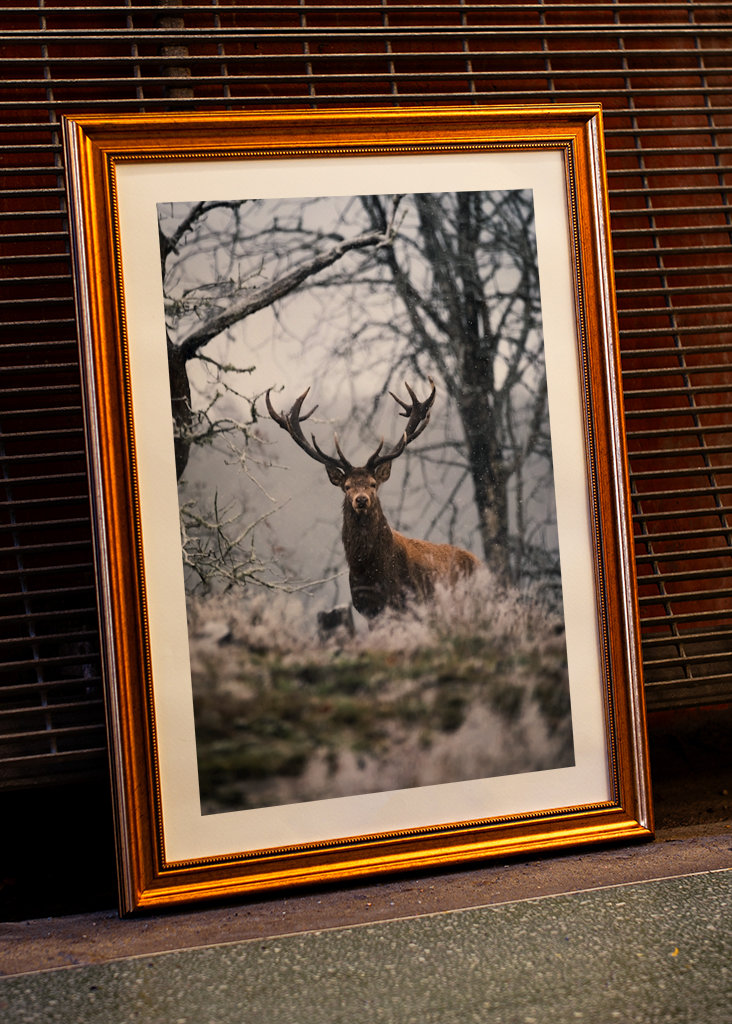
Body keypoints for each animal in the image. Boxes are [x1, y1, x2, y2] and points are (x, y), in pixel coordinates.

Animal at [266, 379, 480, 620]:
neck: (372, 572)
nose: (361, 500)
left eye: (373, 484)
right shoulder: (368, 609)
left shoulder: (409, 603)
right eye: (347, 487)